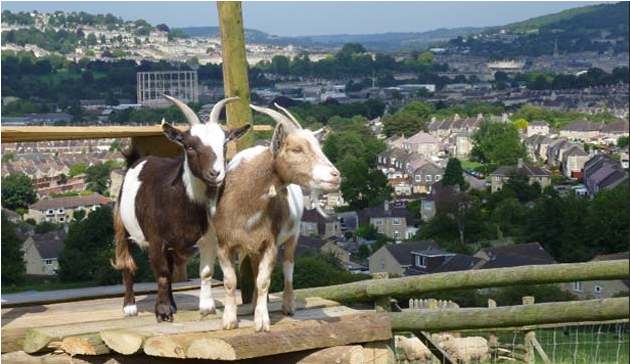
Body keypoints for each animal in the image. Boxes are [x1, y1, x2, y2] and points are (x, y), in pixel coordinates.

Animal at [113, 96, 252, 322]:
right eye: (189, 146)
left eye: (224, 144)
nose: (216, 173)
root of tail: (136, 161)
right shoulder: (156, 238)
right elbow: (161, 273)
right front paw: (162, 312)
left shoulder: (208, 238)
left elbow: (205, 272)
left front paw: (206, 307)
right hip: (122, 224)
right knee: (127, 261)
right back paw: (130, 306)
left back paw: (173, 303)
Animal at [212, 104, 340, 332]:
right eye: (296, 149)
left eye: (319, 146)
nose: (335, 176)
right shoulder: (224, 245)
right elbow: (230, 281)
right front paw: (229, 320)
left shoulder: (270, 243)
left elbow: (264, 280)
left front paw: (262, 321)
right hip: (253, 248)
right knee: (255, 268)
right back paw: (254, 302)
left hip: (292, 235)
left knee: (288, 266)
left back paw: (288, 305)